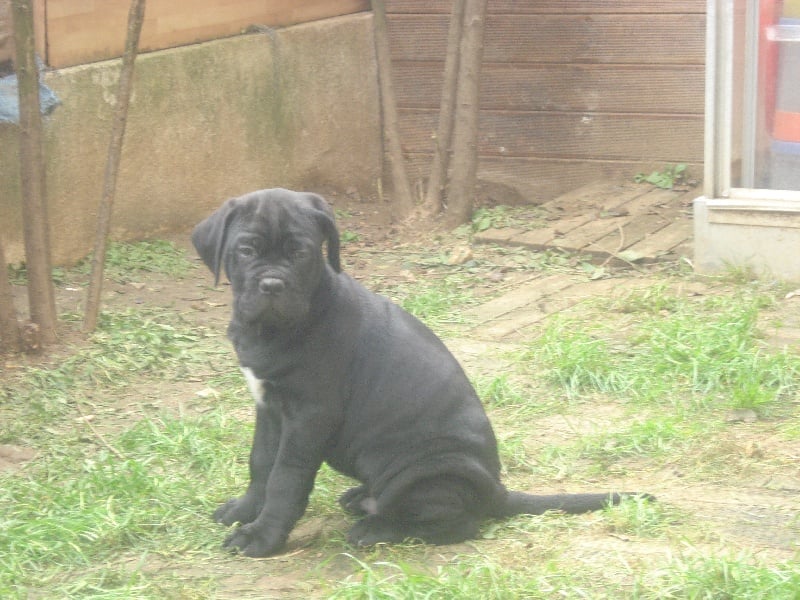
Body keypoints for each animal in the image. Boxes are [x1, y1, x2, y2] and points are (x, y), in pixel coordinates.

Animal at [194, 189, 648, 556]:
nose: (272, 285)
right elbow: (261, 463)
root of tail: (497, 493)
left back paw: (377, 528)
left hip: (427, 468)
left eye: (301, 252)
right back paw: (361, 500)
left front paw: (262, 537)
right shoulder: (269, 408)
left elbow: (285, 479)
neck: (272, 329)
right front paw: (243, 511)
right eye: (246, 250)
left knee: (456, 524)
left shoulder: (309, 417)